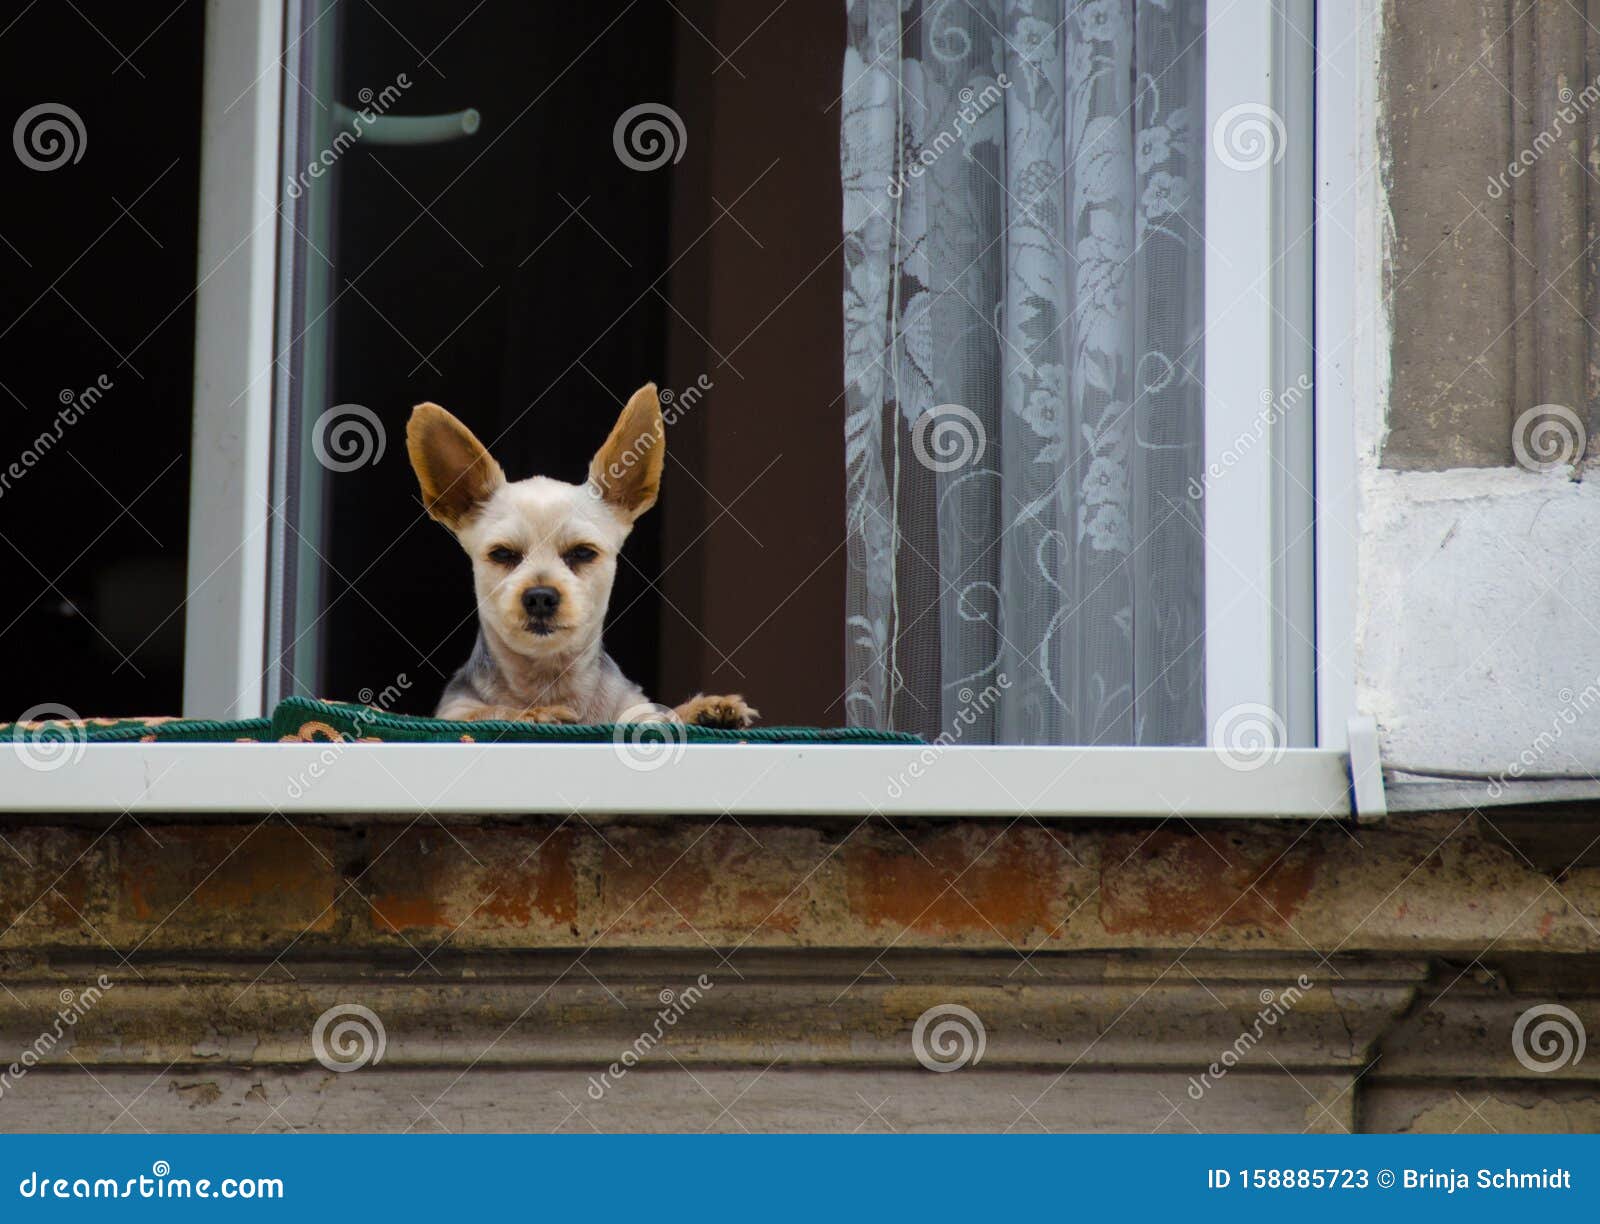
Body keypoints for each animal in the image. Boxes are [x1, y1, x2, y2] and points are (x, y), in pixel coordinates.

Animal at [403, 379, 758, 726]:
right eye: (502, 555)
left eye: (583, 553)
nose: (540, 596)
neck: (548, 679)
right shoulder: (454, 712)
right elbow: (488, 711)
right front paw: (533, 713)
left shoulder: (635, 707)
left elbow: (657, 715)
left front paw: (700, 710)